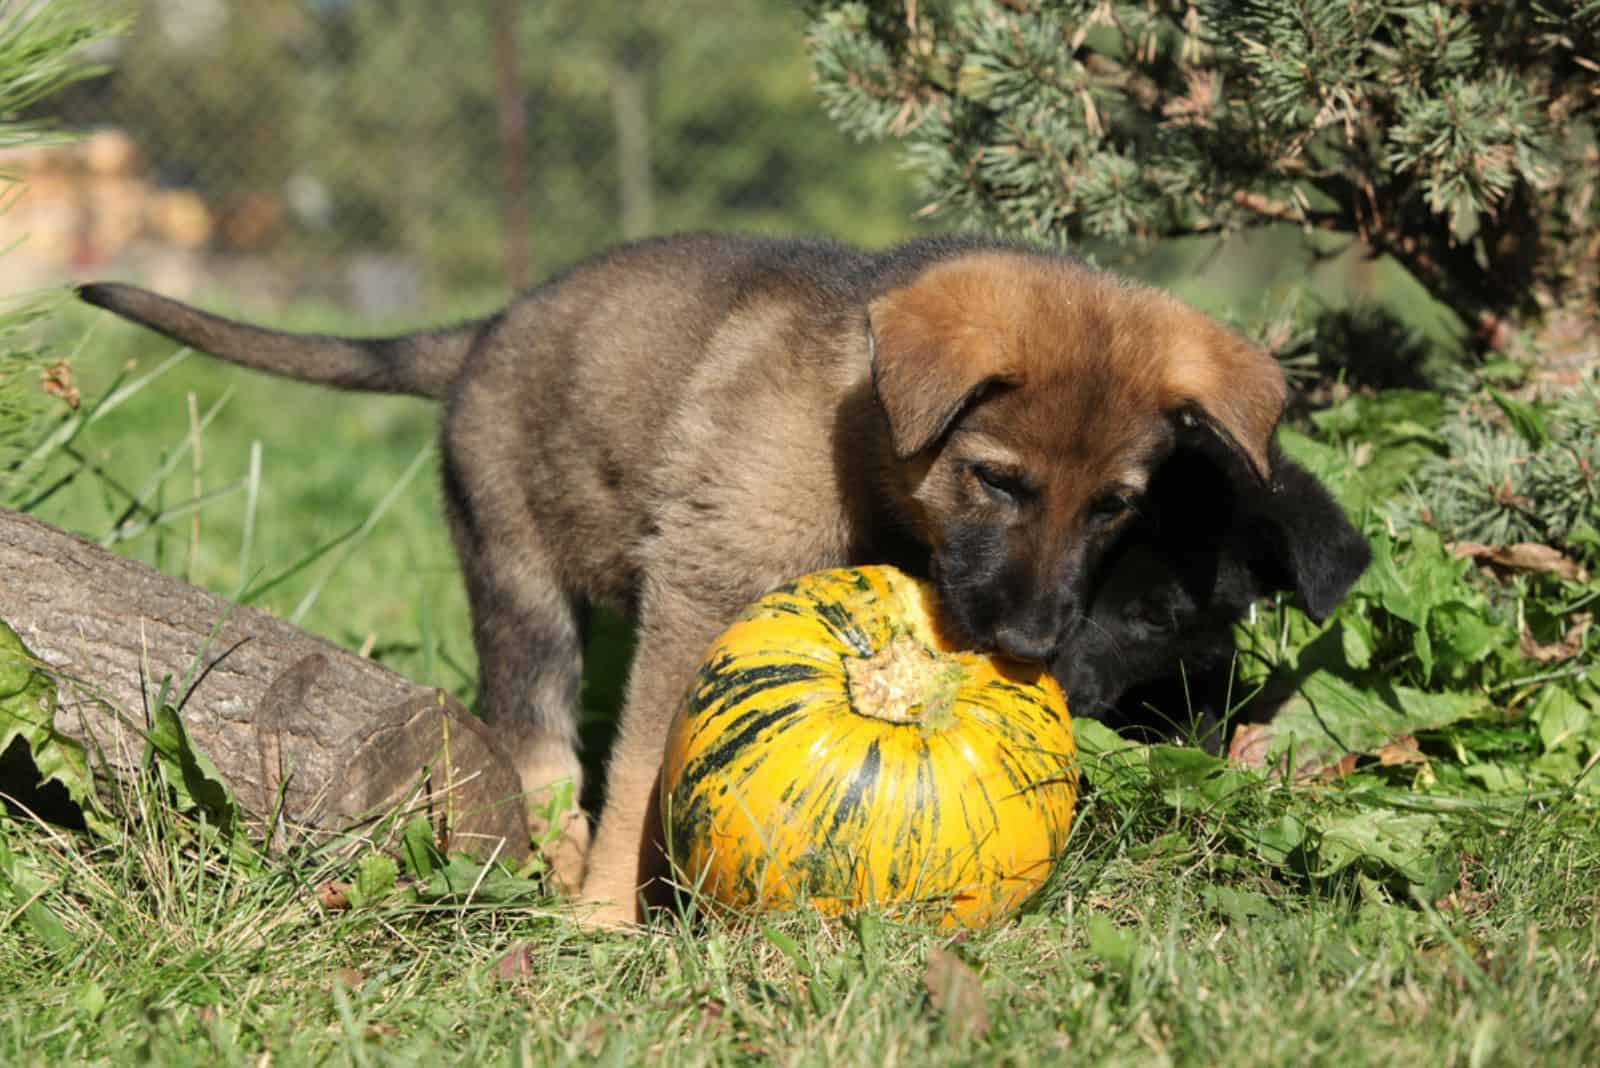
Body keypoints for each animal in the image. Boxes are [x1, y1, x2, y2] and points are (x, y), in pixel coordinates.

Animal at [84, 235, 1286, 927]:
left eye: (1114, 505)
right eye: (996, 480)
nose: (1034, 648)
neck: (864, 440)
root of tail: (482, 332)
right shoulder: (695, 600)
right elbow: (636, 775)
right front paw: (609, 921)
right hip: (515, 567)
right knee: (538, 732)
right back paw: (557, 860)